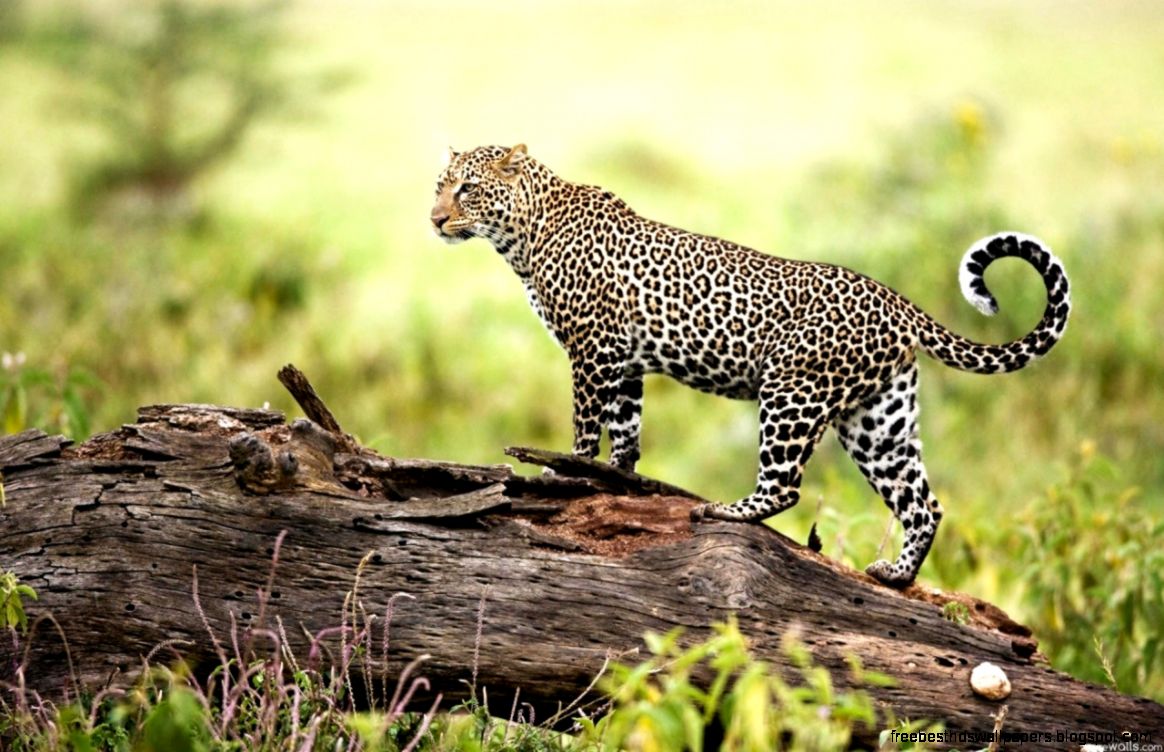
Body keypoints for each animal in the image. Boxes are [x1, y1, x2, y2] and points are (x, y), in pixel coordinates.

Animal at [429, 143, 1070, 587]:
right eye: (439, 187)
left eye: (467, 190)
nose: (434, 220)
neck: (522, 236)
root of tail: (898, 302)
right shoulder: (625, 361)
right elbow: (627, 432)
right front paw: (616, 480)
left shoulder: (592, 349)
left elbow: (586, 427)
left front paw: (562, 476)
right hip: (877, 421)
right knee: (924, 503)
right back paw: (897, 575)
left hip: (792, 392)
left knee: (785, 486)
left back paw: (727, 510)